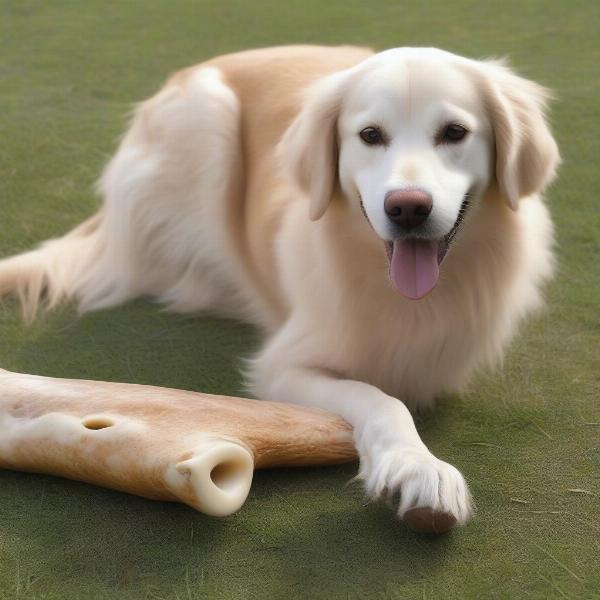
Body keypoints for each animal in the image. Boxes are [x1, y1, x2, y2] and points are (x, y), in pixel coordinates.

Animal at [0, 45, 560, 528]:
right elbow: (381, 399)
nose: (407, 208)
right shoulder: (281, 368)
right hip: (206, 122)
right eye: (370, 135)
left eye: (454, 131)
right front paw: (417, 468)